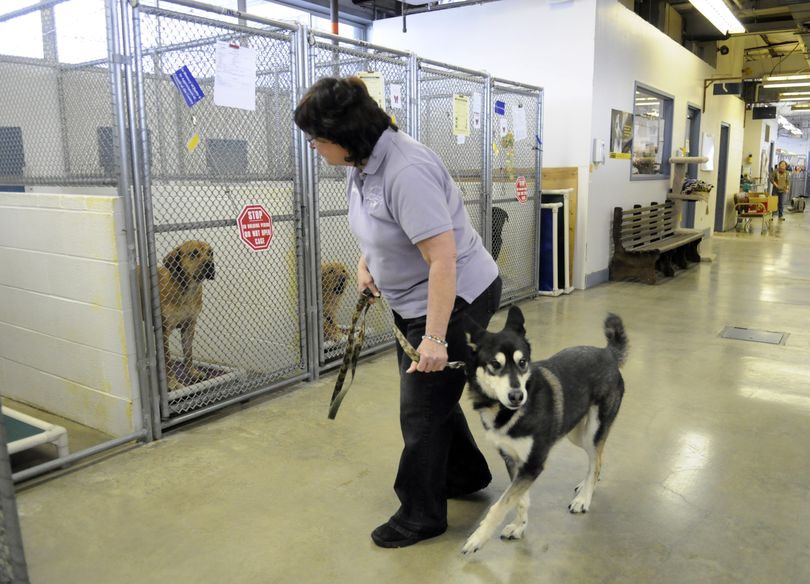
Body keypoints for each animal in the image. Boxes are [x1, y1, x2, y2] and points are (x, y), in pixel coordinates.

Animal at [157, 240, 215, 390]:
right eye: (194, 253)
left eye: (210, 253)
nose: (210, 264)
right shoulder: (164, 331)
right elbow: (168, 361)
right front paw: (172, 383)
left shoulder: (189, 326)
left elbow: (188, 354)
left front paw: (192, 373)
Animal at [460, 304, 624, 556]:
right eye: (495, 365)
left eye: (523, 362)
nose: (517, 396)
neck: (505, 411)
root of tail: (608, 354)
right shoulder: (513, 460)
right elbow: (519, 499)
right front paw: (519, 526)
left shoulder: (534, 463)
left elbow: (501, 504)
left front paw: (478, 538)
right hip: (576, 432)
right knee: (597, 458)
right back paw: (586, 485)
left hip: (592, 430)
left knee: (596, 461)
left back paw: (584, 498)